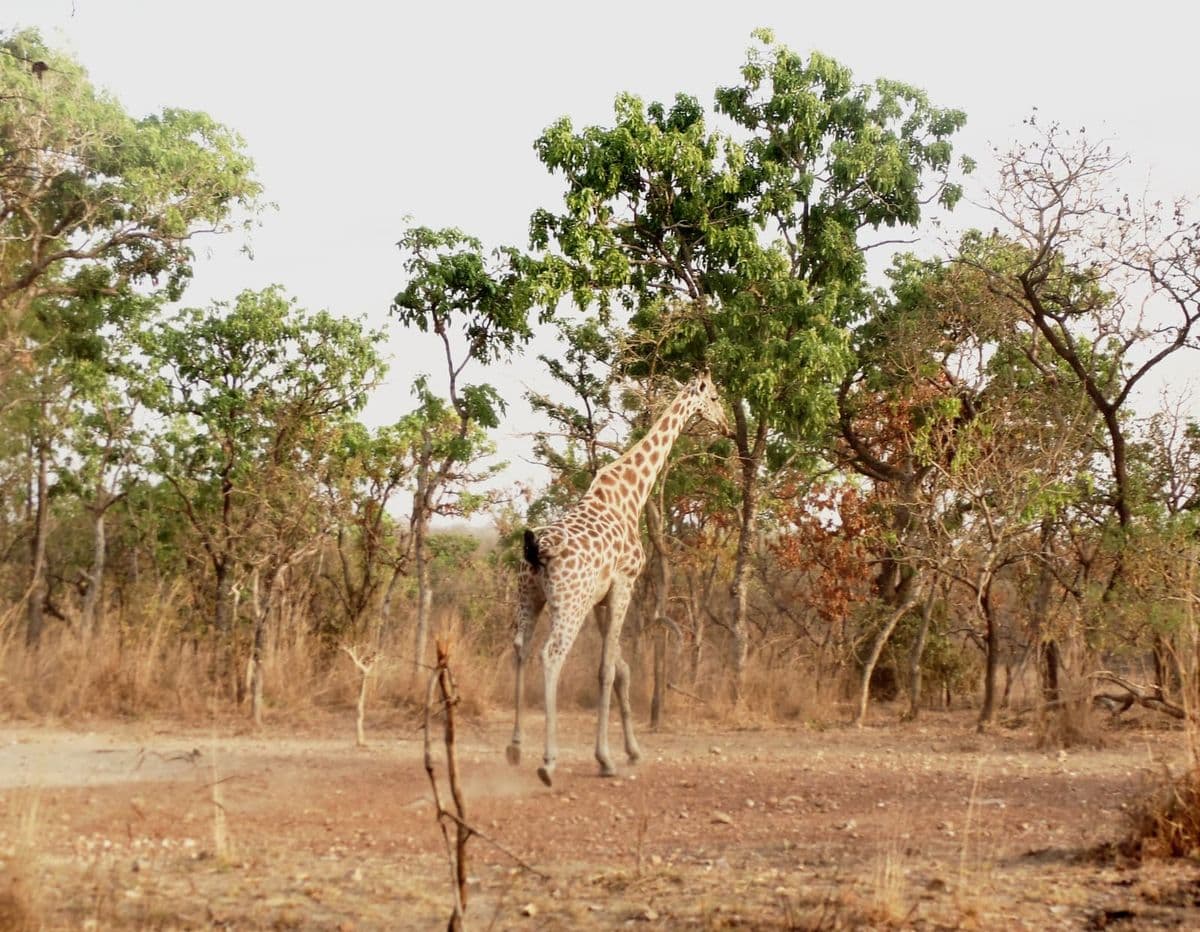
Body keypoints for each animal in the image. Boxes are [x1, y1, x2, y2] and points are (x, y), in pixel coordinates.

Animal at [506, 372, 729, 786]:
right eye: (715, 397)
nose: (723, 423)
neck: (631, 491)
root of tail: (536, 549)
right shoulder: (625, 583)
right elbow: (608, 669)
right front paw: (605, 758)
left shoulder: (601, 596)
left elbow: (622, 669)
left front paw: (632, 750)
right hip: (569, 602)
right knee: (551, 654)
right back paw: (548, 761)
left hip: (529, 595)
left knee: (520, 649)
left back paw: (514, 748)